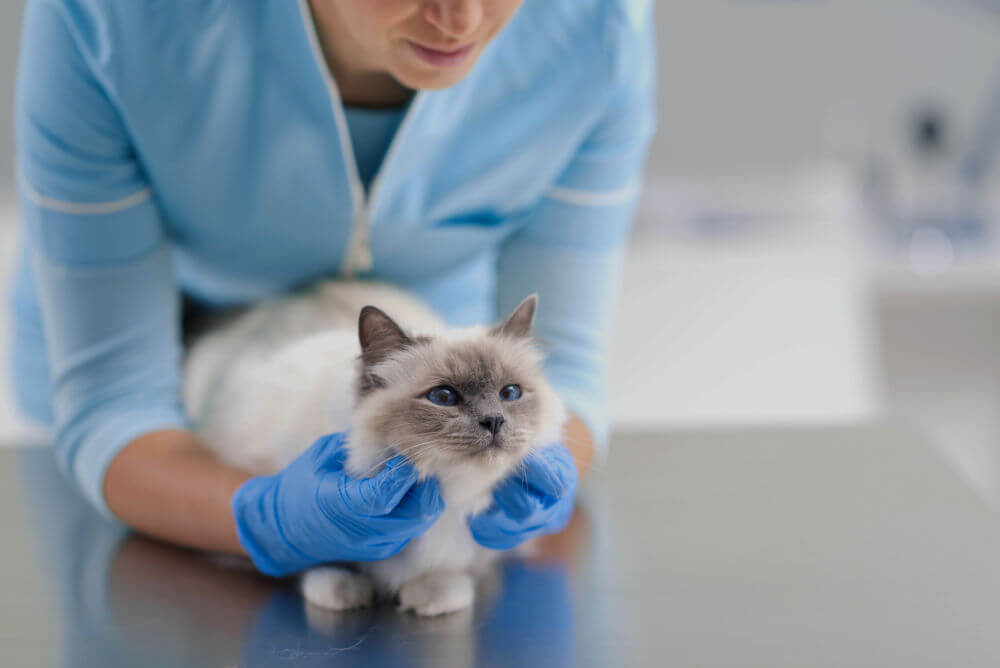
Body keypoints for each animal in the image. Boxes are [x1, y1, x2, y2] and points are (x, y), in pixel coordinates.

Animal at [183, 280, 568, 616]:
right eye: (443, 397)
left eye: (510, 393)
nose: (494, 421)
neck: (445, 493)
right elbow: (306, 551)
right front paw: (344, 590)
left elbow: (451, 570)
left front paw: (432, 595)